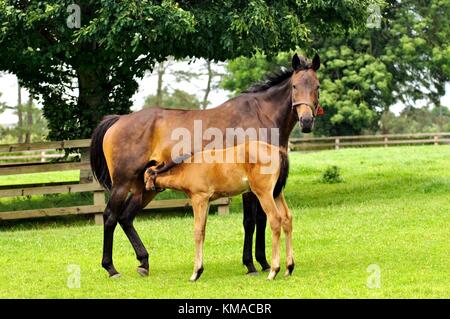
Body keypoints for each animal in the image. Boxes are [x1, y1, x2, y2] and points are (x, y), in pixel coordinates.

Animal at [143, 141, 292, 282]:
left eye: (145, 177)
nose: (146, 188)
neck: (188, 168)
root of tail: (278, 150)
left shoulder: (199, 199)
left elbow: (197, 232)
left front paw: (196, 272)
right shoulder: (207, 202)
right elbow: (203, 231)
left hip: (264, 193)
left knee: (275, 219)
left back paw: (273, 271)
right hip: (277, 194)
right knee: (287, 218)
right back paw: (289, 268)